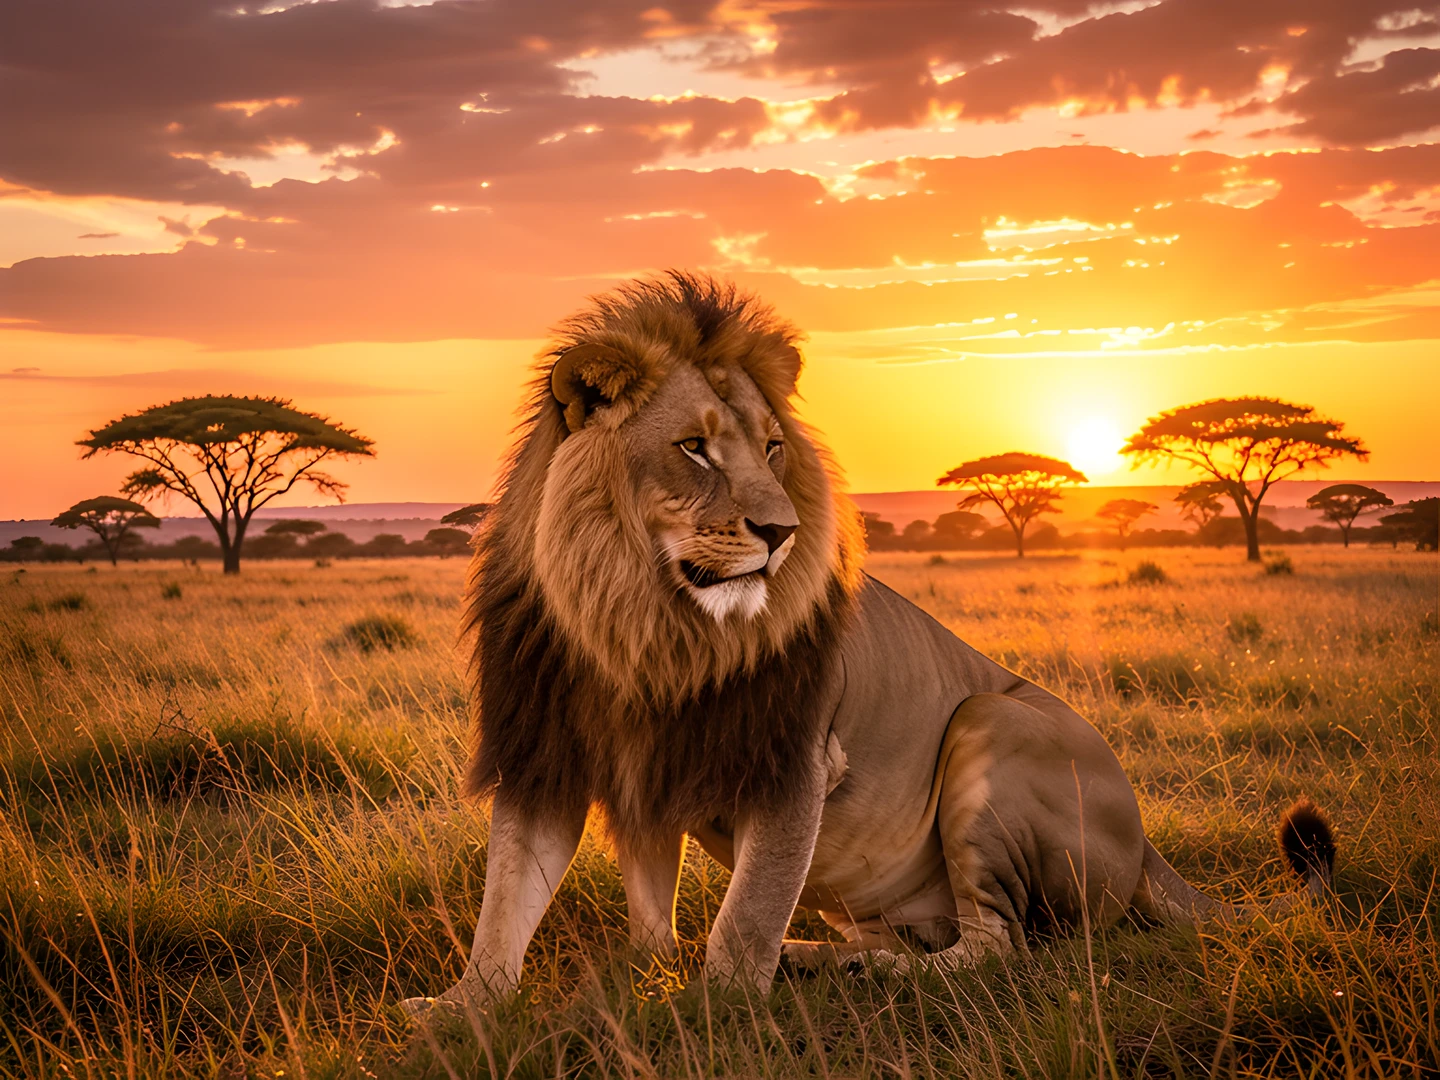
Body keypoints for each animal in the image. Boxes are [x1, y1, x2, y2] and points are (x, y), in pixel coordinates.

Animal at [402, 271, 1335, 1013]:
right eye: (693, 448)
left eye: (774, 447)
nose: (780, 532)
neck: (640, 622)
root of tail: (1148, 848)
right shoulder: (554, 754)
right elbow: (511, 904)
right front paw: (461, 1011)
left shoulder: (794, 761)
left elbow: (743, 921)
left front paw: (710, 1012)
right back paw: (817, 958)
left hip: (990, 725)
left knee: (998, 947)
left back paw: (867, 975)